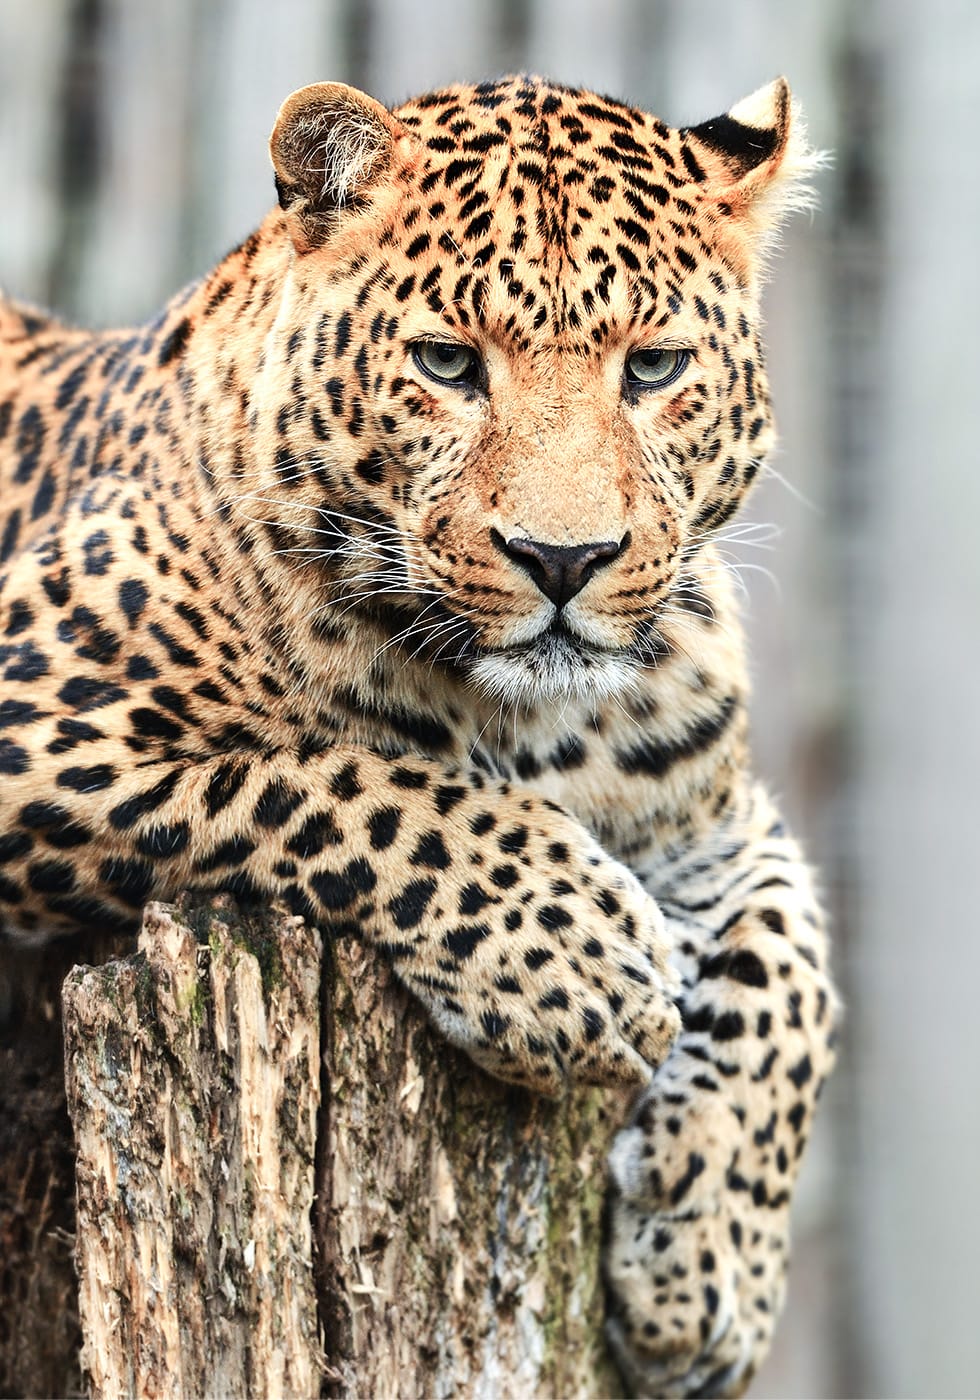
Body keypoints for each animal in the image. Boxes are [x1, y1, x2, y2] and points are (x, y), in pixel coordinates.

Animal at [1, 79, 834, 1400]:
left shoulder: (718, 818)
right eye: (448, 363)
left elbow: (789, 979)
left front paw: (708, 1282)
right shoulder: (42, 710)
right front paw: (578, 962)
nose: (563, 560)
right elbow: (338, 781)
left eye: (653, 367)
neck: (538, 719)